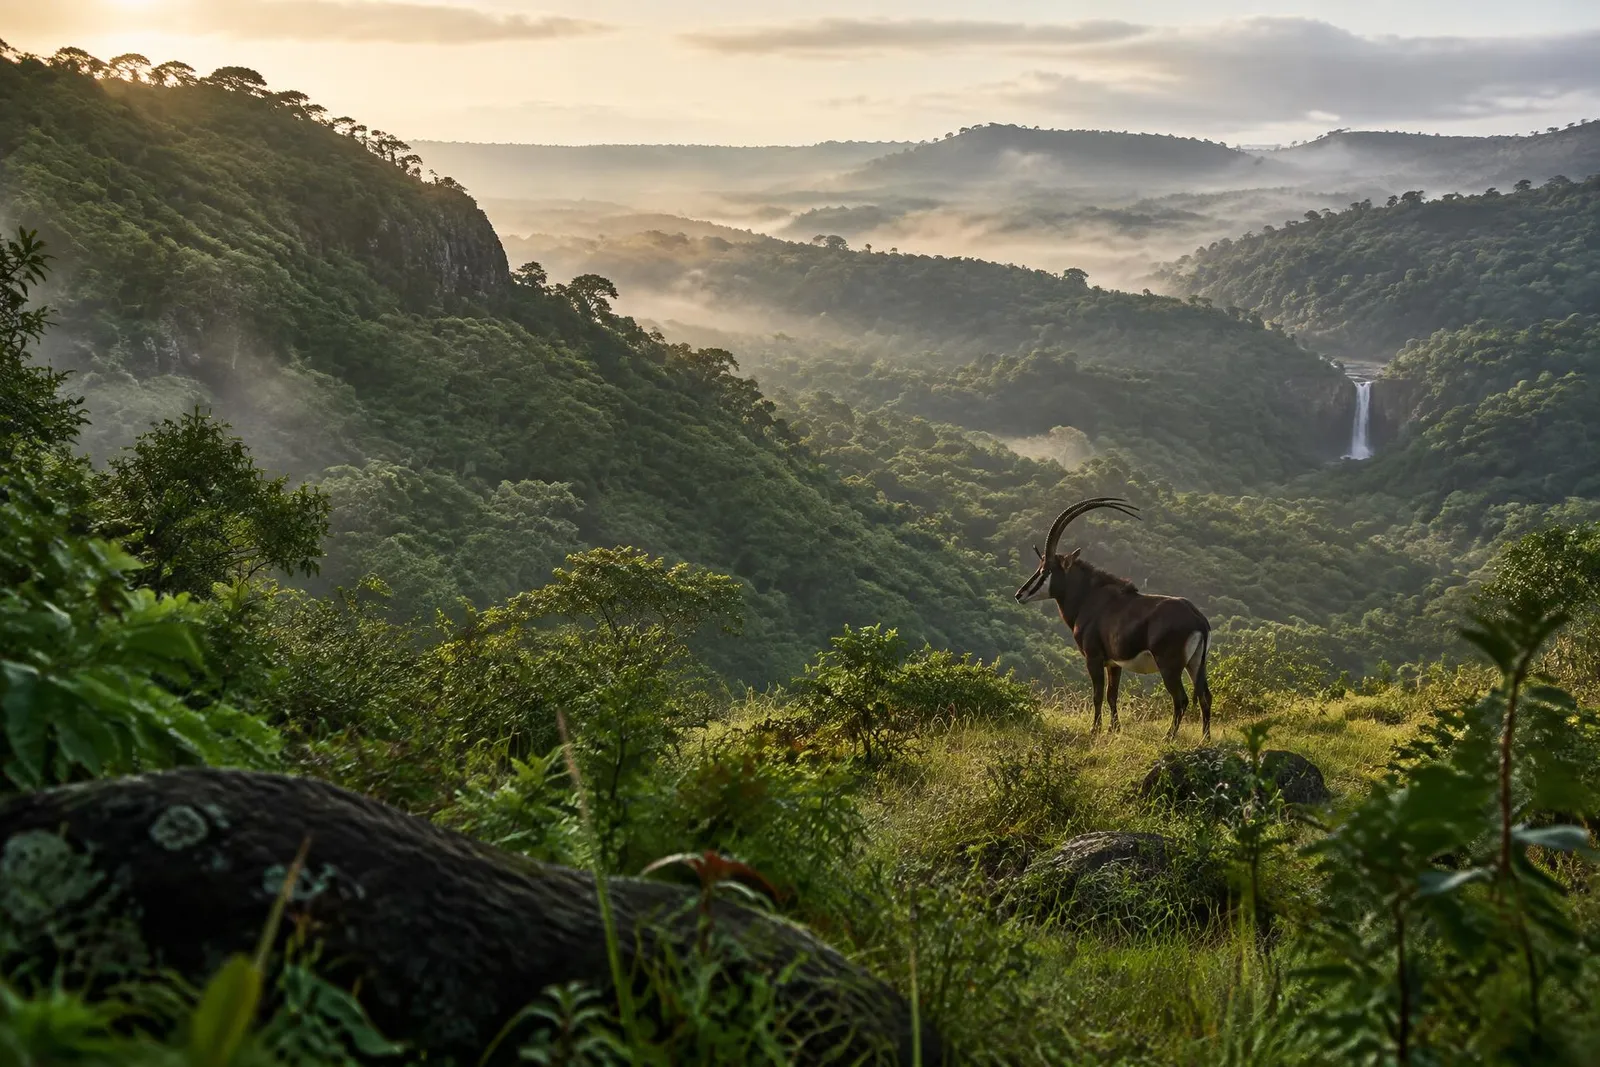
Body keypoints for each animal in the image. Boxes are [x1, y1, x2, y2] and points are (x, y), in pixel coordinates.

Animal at [1015, 497, 1213, 740]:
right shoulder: (1114, 663)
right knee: (1205, 696)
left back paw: (1169, 737)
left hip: (1170, 666)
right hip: (1195, 664)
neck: (1088, 597)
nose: (1020, 594)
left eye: (1046, 570)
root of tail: (1198, 619)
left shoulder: (1094, 658)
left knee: (1181, 699)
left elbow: (1098, 695)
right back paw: (1205, 738)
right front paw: (1114, 729)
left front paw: (1095, 730)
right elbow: (1112, 695)